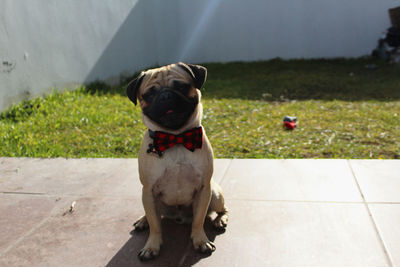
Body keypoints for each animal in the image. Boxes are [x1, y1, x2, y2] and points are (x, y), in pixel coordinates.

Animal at [127, 62, 228, 262]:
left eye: (181, 87)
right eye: (149, 94)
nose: (166, 95)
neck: (176, 138)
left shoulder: (204, 189)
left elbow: (198, 221)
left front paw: (200, 240)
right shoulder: (149, 190)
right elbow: (156, 226)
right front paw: (151, 246)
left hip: (214, 194)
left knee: (223, 209)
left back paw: (220, 220)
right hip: (150, 198)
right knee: (152, 215)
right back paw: (143, 220)